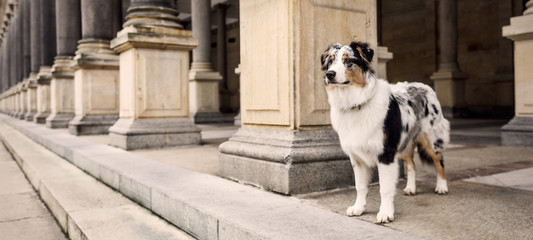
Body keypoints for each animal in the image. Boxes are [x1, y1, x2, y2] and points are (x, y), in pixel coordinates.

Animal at [320, 41, 448, 223]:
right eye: (330, 61)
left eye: (348, 61)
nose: (329, 74)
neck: (356, 103)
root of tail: (423, 85)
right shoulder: (357, 157)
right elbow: (360, 186)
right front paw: (358, 208)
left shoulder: (386, 154)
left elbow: (385, 188)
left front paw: (386, 213)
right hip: (404, 143)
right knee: (412, 165)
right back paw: (411, 188)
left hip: (431, 139)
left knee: (439, 161)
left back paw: (442, 186)